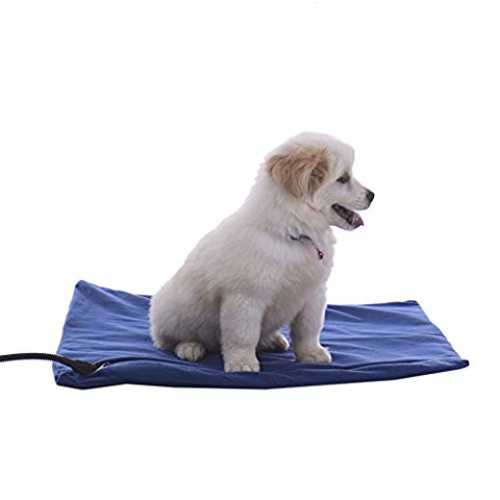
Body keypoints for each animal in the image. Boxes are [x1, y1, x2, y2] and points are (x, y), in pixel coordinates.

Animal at [150, 132, 374, 372]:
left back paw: (272, 340)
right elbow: (243, 335)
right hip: (174, 310)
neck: (294, 233)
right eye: (343, 179)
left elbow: (309, 329)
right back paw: (190, 348)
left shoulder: (313, 294)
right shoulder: (246, 298)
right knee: (168, 339)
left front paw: (312, 354)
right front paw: (243, 364)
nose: (372, 195)